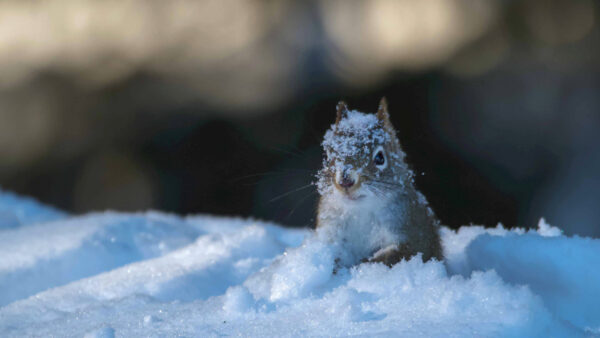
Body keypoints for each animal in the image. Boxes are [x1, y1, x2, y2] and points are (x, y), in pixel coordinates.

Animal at [314, 97, 440, 266]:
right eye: (328, 157)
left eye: (380, 158)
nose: (345, 181)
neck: (360, 211)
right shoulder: (330, 228)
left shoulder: (413, 231)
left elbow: (401, 254)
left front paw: (363, 264)